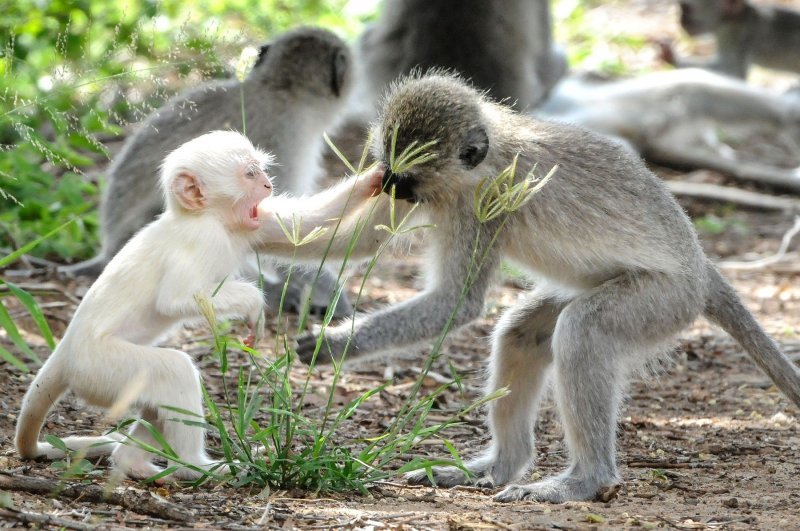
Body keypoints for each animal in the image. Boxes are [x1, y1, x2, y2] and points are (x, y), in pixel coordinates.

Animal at [14, 130, 384, 482]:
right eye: (250, 174)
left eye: (260, 170)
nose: (267, 184)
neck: (208, 217)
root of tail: (67, 348)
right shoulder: (202, 238)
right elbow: (176, 299)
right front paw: (254, 305)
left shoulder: (247, 226)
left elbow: (307, 227)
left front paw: (376, 177)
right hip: (98, 369)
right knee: (172, 371)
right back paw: (194, 467)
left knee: (153, 404)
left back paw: (133, 463)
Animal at [282, 74, 800, 502]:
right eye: (387, 167)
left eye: (405, 177)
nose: (387, 185)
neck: (487, 158)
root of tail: (700, 267)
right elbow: (350, 238)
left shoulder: (483, 208)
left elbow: (454, 304)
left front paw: (335, 346)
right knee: (522, 333)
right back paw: (499, 467)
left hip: (665, 299)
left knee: (584, 331)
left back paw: (585, 480)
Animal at [664, 0, 800, 78]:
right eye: (681, 8)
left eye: (686, 9)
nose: (681, 21)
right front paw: (670, 57)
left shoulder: (735, 37)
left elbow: (734, 73)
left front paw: (673, 59)